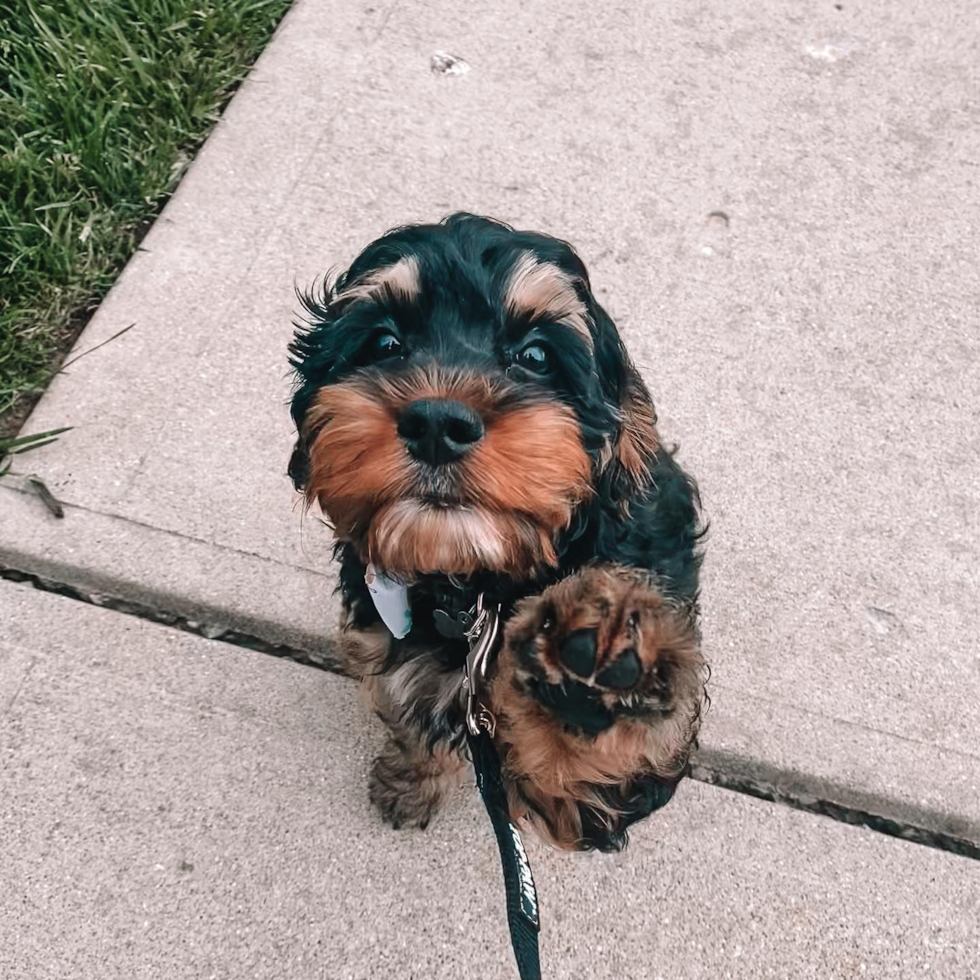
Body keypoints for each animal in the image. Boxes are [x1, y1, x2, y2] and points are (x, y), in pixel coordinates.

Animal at [288, 212, 708, 848]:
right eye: (385, 343)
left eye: (535, 355)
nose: (437, 423)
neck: (474, 589)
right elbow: (413, 709)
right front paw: (412, 781)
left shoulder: (608, 791)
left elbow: (585, 769)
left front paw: (593, 654)